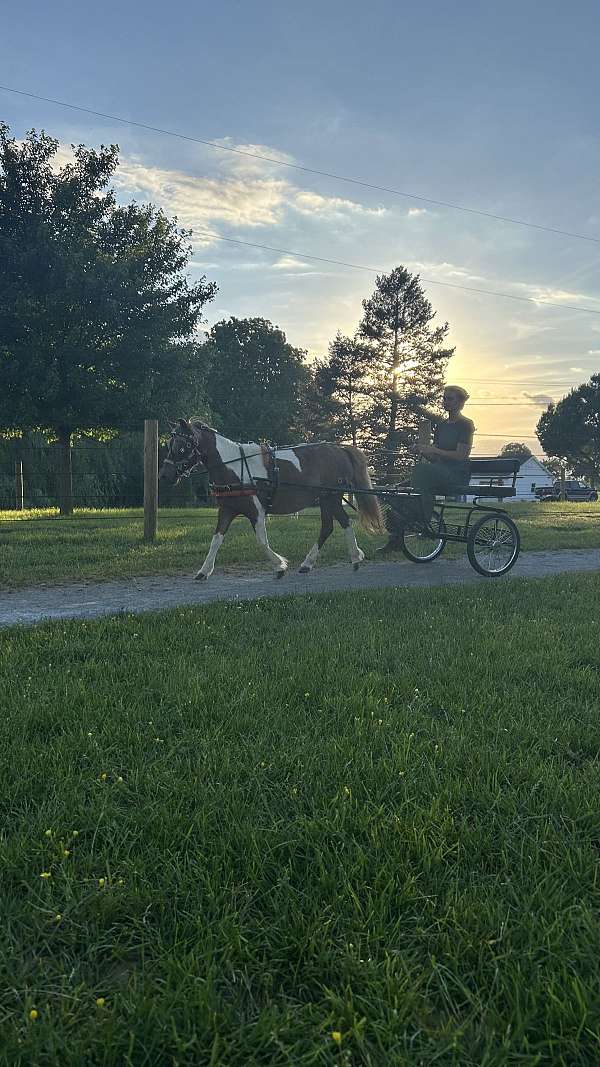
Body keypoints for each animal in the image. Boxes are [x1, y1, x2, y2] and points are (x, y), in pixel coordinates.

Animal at [158, 420, 385, 581]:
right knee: (332, 525)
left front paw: (279, 566)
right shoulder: (228, 509)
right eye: (169, 444)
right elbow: (216, 540)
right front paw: (204, 571)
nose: (164, 476)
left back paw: (353, 557)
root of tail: (340, 449)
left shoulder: (256, 511)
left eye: (182, 446)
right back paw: (313, 563)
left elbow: (261, 541)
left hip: (331, 497)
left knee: (341, 523)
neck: (234, 468)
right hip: (326, 498)